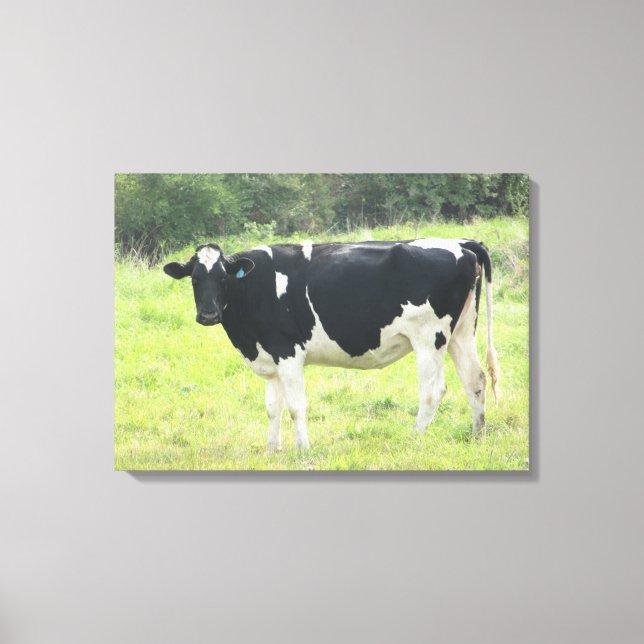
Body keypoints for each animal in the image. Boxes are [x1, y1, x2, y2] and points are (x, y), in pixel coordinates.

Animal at [163, 238, 500, 451]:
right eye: (194, 279)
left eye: (223, 279)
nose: (209, 314)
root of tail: (461, 244)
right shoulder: (269, 357)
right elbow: (273, 408)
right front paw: (272, 449)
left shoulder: (287, 353)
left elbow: (296, 406)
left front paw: (303, 449)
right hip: (461, 331)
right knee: (475, 380)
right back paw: (477, 436)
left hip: (430, 337)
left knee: (433, 390)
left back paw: (414, 439)